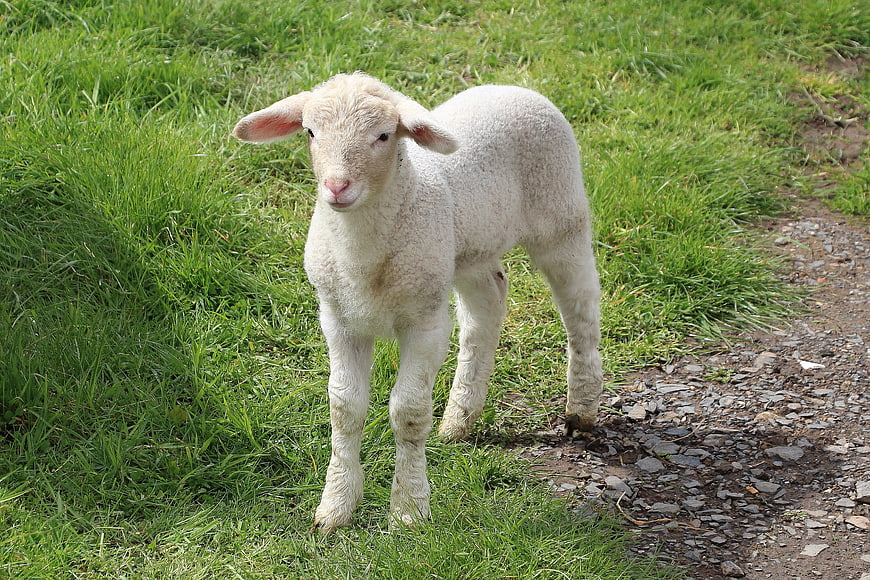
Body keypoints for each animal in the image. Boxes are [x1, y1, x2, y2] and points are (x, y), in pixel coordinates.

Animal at [232, 72, 603, 534]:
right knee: (488, 302)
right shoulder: (338, 318)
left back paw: (581, 408)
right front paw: (335, 507)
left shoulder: (425, 322)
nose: (336, 187)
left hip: (561, 217)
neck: (362, 259)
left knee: (581, 308)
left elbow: (407, 411)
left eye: (383, 135)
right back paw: (460, 417)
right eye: (311, 132)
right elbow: (344, 408)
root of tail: (513, 87)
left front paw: (409, 510)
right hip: (463, 251)